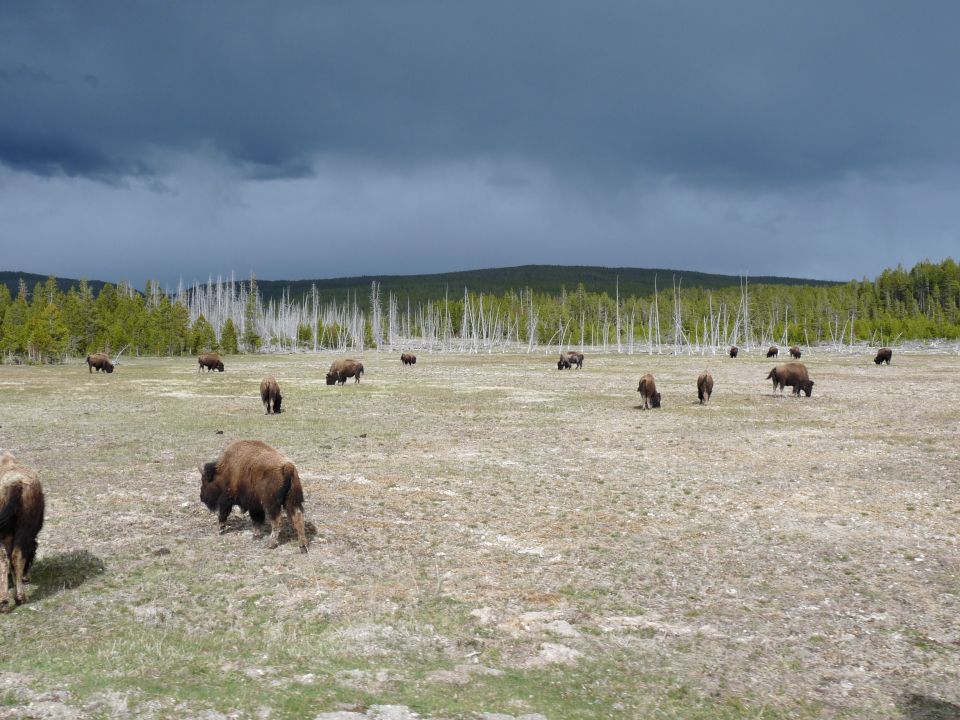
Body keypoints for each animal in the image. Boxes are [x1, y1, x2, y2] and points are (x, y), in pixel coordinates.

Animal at [0, 452, 44, 611]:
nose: (27, 578)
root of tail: (14, 484)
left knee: (6, 559)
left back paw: (6, 602)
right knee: (15, 556)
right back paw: (18, 598)